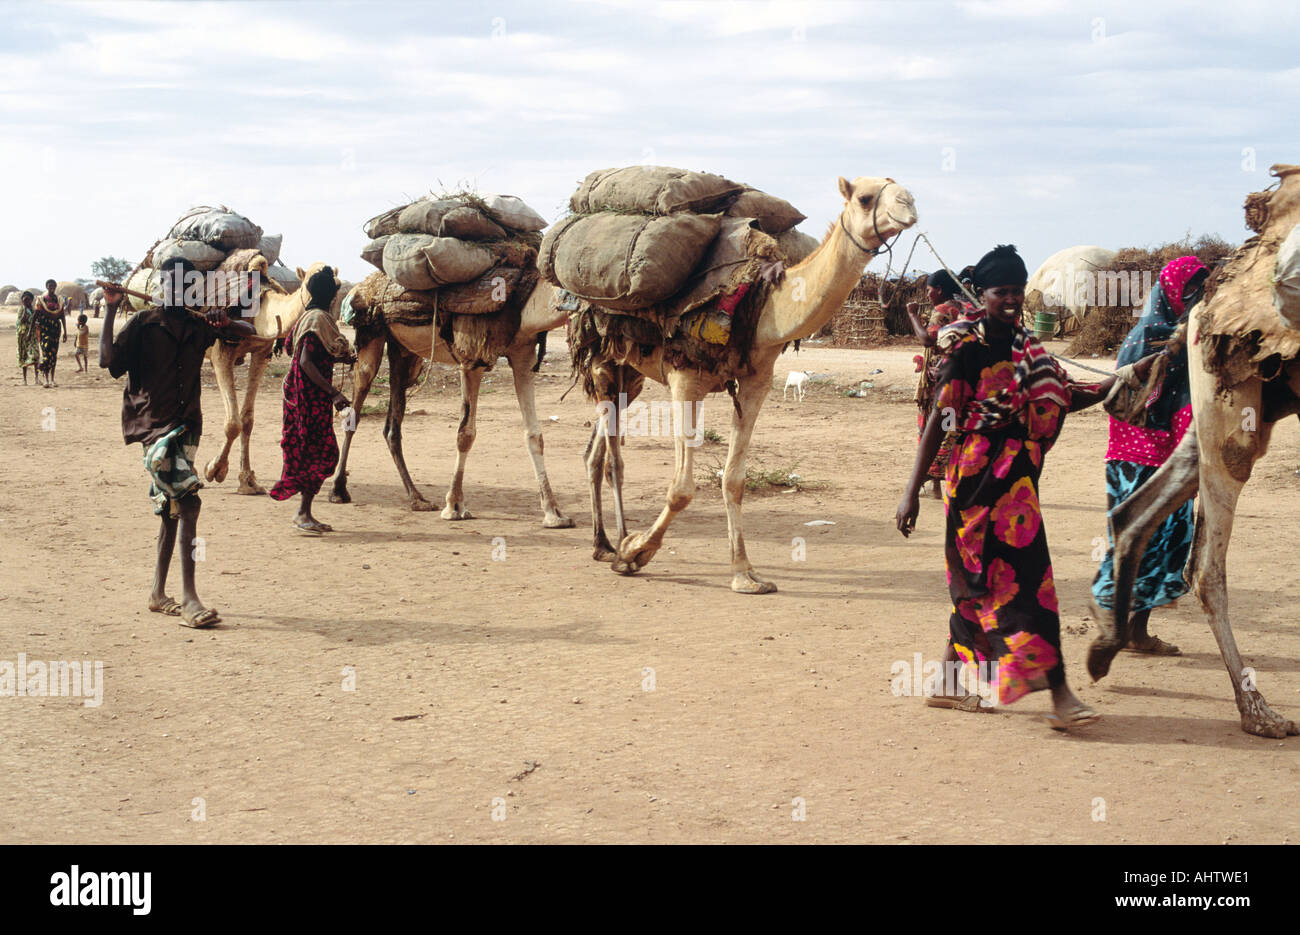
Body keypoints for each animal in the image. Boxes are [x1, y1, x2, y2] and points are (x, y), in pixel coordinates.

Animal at [202, 260, 335, 494]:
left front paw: (248, 481)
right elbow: (233, 423)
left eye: (337, 286)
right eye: (309, 283)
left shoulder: (261, 352)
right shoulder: (221, 353)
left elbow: (246, 420)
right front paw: (214, 470)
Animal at [327, 275, 572, 525]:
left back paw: (417, 499)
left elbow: (534, 435)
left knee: (392, 425)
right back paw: (338, 490)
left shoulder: (523, 356)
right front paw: (454, 506)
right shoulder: (472, 359)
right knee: (355, 411)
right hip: (372, 336)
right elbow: (466, 434)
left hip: (403, 350)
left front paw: (554, 513)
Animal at [574, 175, 920, 592]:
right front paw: (637, 552)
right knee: (612, 460)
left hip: (632, 374)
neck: (760, 305)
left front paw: (745, 573)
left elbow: (734, 480)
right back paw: (616, 544)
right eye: (866, 198)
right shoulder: (684, 379)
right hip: (603, 363)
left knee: (595, 453)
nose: (908, 204)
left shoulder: (757, 382)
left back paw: (605, 543)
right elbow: (681, 488)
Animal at [1086, 164, 1300, 743]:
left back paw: (1105, 646)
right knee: (1204, 566)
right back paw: (1257, 711)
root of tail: (1207, 300)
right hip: (1231, 402)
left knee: (1135, 512)